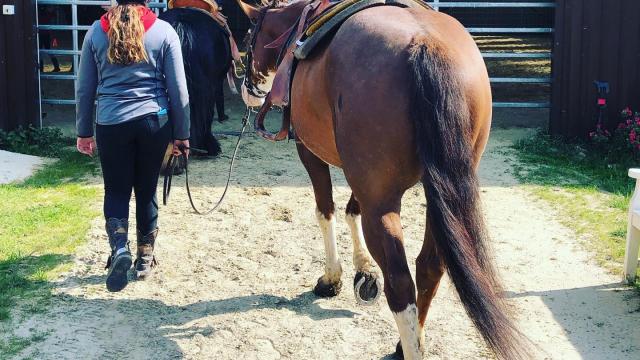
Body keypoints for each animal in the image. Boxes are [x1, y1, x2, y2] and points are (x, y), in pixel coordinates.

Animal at [238, 1, 524, 358]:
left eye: (248, 39)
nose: (246, 90)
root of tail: (427, 44)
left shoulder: (309, 151)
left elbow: (326, 211)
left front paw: (332, 278)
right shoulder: (362, 180)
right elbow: (351, 210)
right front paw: (363, 269)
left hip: (382, 205)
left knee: (400, 284)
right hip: (436, 199)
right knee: (430, 266)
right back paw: (408, 342)